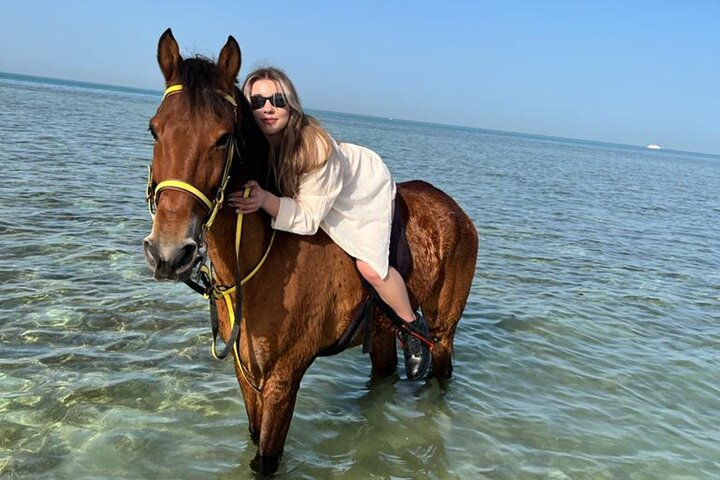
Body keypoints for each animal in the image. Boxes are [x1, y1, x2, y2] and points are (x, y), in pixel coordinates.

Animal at [143, 29, 478, 474]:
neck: (260, 261)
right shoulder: (247, 376)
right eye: (155, 130)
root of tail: (454, 211)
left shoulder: (283, 382)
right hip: (382, 335)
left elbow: (265, 461)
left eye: (223, 136)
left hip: (443, 335)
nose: (168, 252)